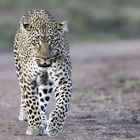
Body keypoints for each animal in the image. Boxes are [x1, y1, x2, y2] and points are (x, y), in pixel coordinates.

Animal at [13, 9, 72, 137]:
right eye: (36, 42)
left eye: (52, 42)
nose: (45, 58)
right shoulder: (28, 80)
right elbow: (31, 103)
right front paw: (35, 127)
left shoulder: (64, 80)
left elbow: (62, 105)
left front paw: (54, 126)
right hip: (19, 71)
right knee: (24, 95)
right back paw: (25, 114)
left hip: (46, 84)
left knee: (41, 101)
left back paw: (44, 119)